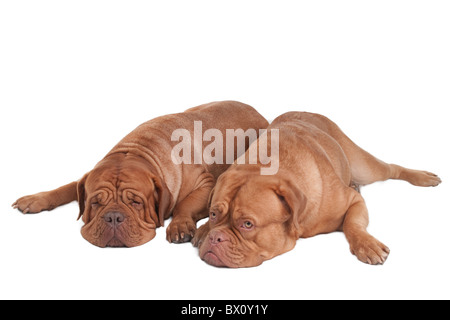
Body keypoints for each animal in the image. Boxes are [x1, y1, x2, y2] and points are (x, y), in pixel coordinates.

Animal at [12, 101, 268, 246]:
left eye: (136, 202)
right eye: (95, 203)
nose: (113, 217)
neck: (139, 151)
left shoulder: (206, 184)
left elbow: (185, 204)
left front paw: (179, 226)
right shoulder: (83, 179)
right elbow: (66, 188)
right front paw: (35, 199)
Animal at [192, 111, 442, 266]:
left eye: (247, 224)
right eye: (213, 214)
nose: (215, 238)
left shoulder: (354, 201)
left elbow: (353, 224)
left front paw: (366, 244)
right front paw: (204, 230)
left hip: (363, 165)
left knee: (390, 169)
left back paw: (422, 177)